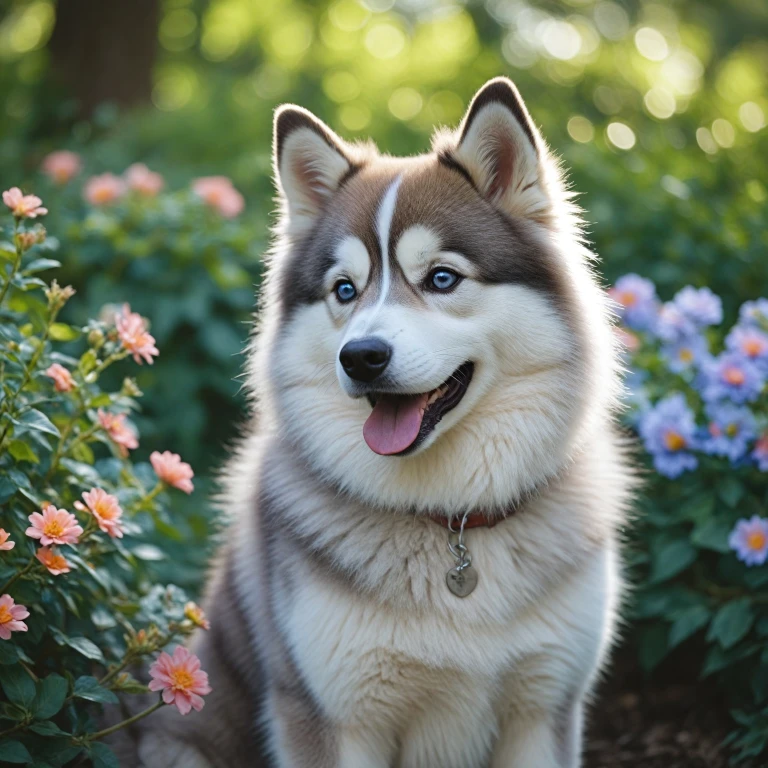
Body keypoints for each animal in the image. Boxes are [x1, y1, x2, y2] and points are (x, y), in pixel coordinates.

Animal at [138, 78, 632, 768]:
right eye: (345, 290)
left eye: (442, 278)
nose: (361, 357)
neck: (451, 525)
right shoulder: (333, 717)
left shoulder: (544, 708)